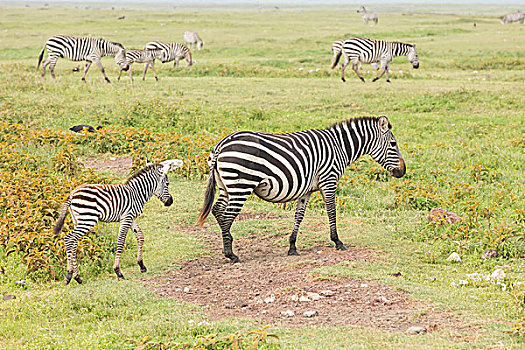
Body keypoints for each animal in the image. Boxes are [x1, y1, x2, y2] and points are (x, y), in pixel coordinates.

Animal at [53, 159, 183, 284]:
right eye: (167, 184)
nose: (170, 202)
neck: (137, 194)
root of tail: (72, 194)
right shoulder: (127, 218)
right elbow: (121, 242)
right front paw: (118, 271)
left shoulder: (131, 218)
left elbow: (140, 236)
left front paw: (141, 265)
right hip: (88, 219)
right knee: (69, 238)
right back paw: (71, 276)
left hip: (78, 220)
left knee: (73, 242)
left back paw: (75, 277)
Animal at [196, 115, 406, 262]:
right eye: (393, 144)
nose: (403, 171)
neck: (340, 147)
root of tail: (221, 145)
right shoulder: (329, 180)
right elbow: (332, 211)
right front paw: (337, 241)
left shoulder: (306, 190)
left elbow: (299, 215)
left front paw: (292, 246)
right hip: (241, 184)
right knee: (227, 215)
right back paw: (231, 254)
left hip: (226, 186)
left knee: (217, 210)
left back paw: (228, 247)